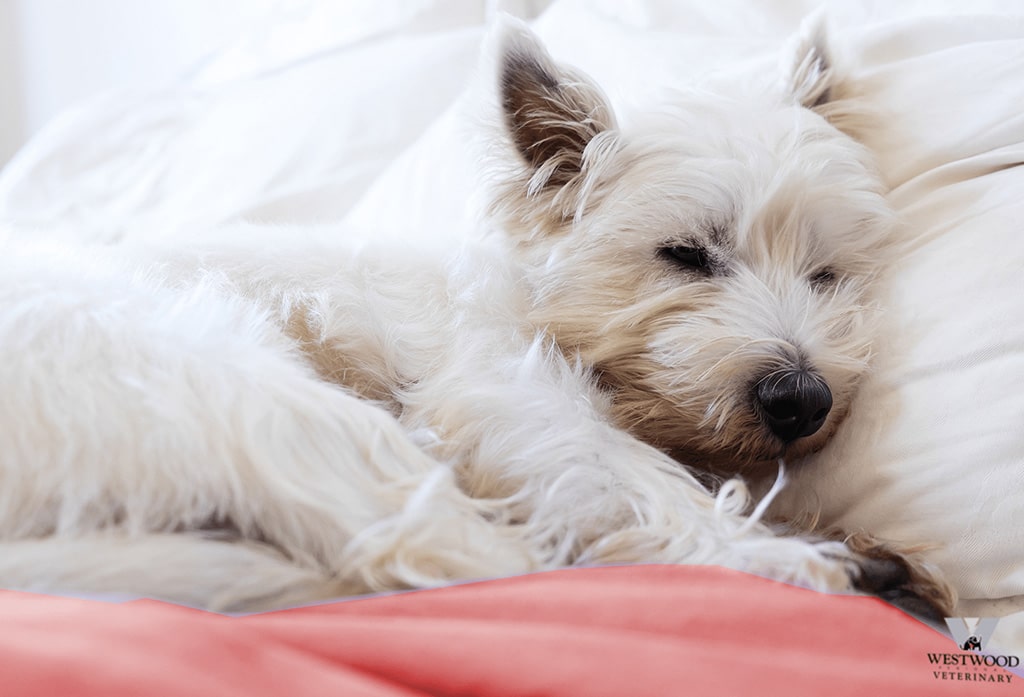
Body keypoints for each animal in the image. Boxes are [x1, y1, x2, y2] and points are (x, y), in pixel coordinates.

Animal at [0, 17, 946, 614]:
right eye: (685, 253)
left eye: (825, 273)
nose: (803, 401)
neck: (528, 298)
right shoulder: (510, 400)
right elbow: (637, 481)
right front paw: (784, 546)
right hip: (240, 387)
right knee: (453, 547)